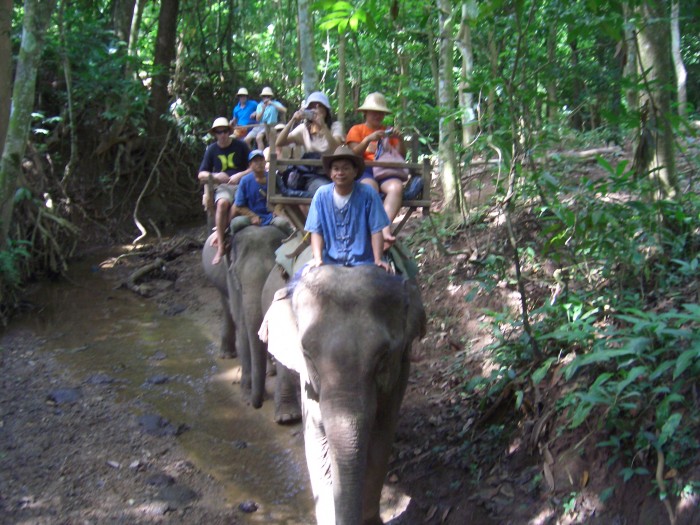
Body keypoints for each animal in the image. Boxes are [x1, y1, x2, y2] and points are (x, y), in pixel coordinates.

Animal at [201, 225, 302, 422]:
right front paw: (247, 396)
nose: (258, 405)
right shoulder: (230, 277)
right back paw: (227, 354)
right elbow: (243, 325)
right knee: (228, 309)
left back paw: (270, 371)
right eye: (237, 274)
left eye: (274, 269)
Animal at [264, 266, 424, 524]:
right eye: (307, 354)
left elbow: (381, 437)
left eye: (383, 356)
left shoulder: (401, 364)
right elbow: (316, 438)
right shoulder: (309, 380)